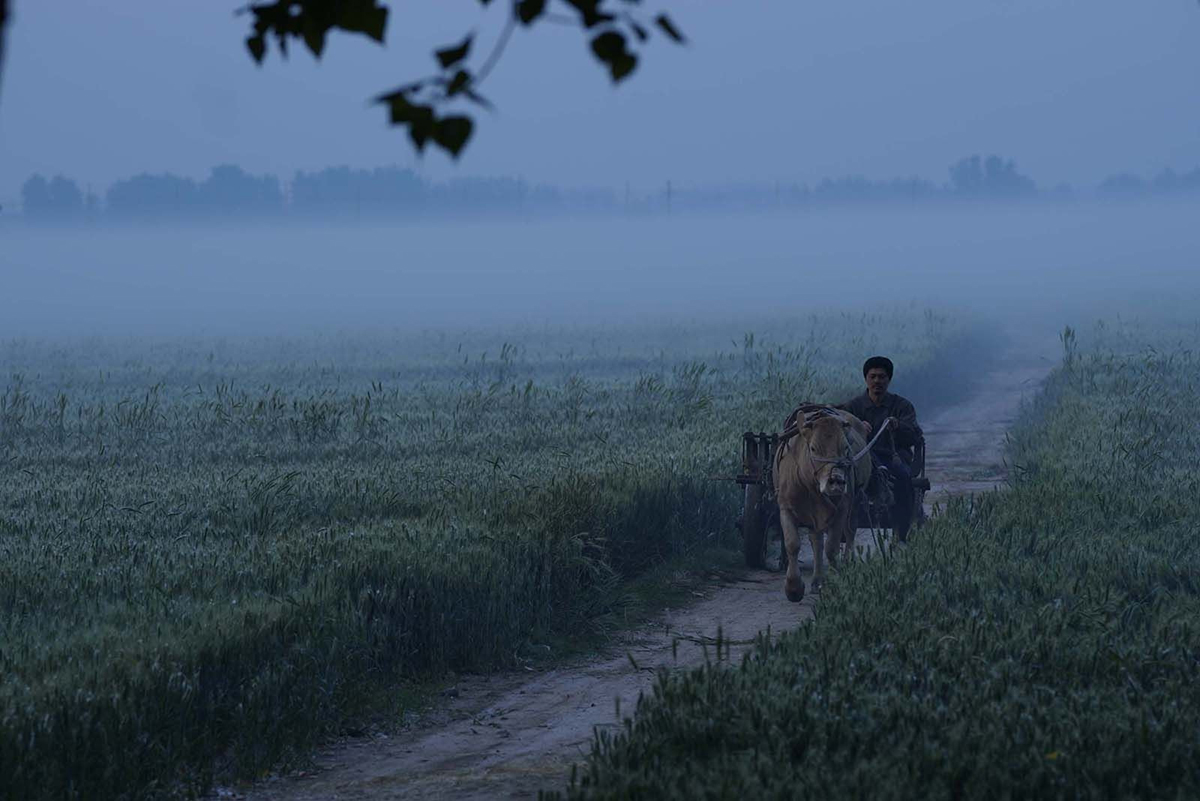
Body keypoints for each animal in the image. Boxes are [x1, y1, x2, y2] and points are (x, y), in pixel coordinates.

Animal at [773, 405, 873, 602]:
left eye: (846, 448)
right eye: (813, 448)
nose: (836, 481)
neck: (810, 486)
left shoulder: (842, 508)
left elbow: (832, 548)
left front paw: (835, 582)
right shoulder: (785, 507)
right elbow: (792, 544)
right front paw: (794, 588)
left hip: (855, 503)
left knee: (850, 532)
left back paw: (846, 566)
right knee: (816, 541)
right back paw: (817, 580)